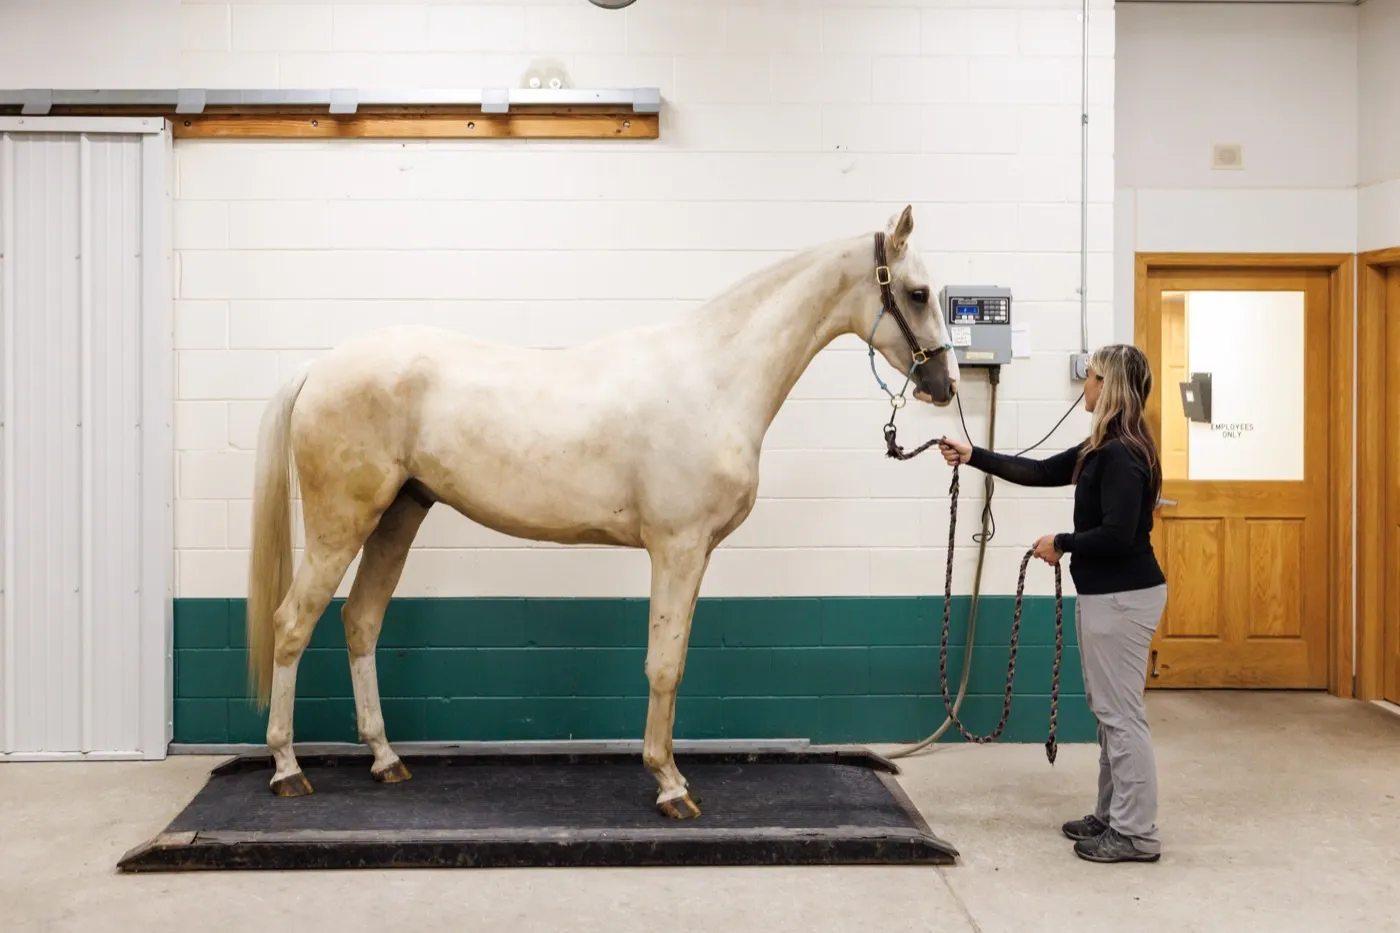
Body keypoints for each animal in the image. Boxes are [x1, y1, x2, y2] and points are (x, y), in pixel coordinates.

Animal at [244, 204, 961, 819]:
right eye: (918, 293)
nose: (943, 386)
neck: (715, 377)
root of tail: (319, 369)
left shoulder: (695, 554)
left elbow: (676, 660)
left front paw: (673, 774)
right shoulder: (676, 547)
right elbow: (662, 665)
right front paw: (670, 786)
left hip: (398, 516)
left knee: (361, 622)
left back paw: (386, 758)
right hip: (342, 523)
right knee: (291, 624)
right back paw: (287, 769)